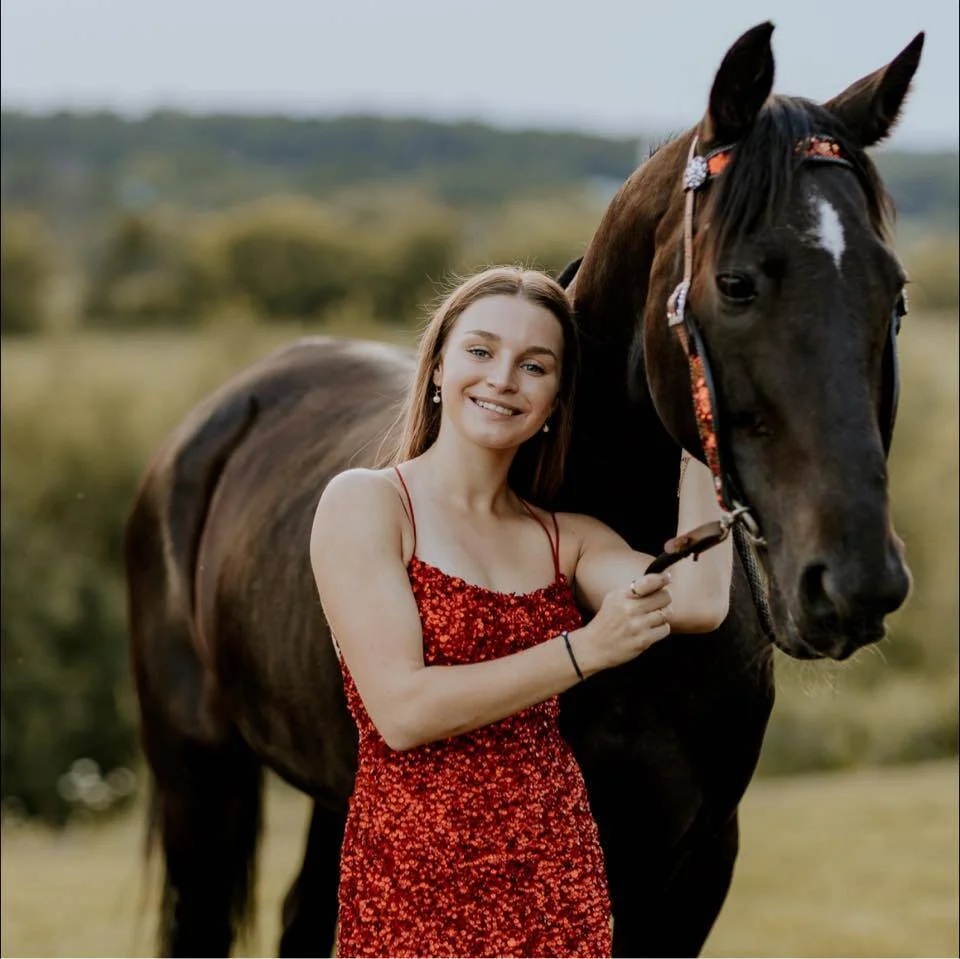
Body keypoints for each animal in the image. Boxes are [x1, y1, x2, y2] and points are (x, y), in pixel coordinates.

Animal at [126, 22, 923, 958]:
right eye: (735, 283)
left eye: (895, 294)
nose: (855, 580)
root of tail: (217, 420)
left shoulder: (692, 870)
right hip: (200, 781)